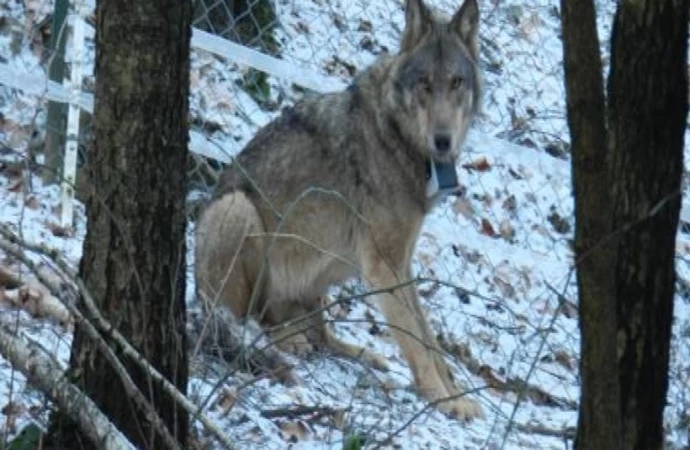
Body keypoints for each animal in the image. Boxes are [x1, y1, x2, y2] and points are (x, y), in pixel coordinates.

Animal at [195, 0, 484, 420]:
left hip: (327, 267)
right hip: (238, 211)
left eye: (457, 82)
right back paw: (288, 339)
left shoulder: (402, 260)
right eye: (425, 84)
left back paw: (360, 352)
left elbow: (429, 336)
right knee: (250, 318)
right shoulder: (384, 265)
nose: (443, 141)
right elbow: (414, 338)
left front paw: (455, 393)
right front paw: (443, 398)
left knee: (322, 332)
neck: (397, 135)